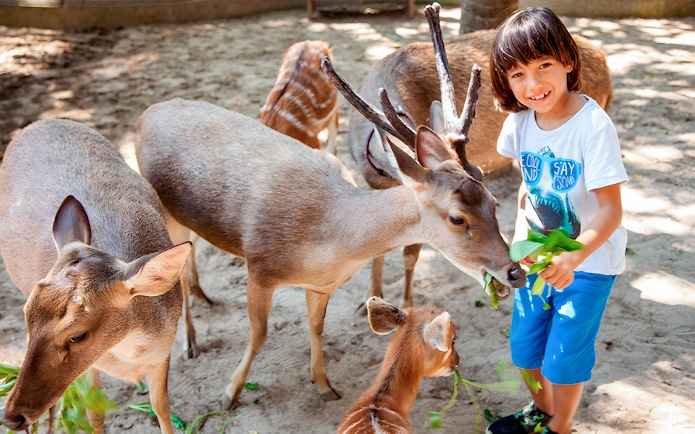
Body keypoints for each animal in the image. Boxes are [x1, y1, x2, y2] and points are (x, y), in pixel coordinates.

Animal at [0, 119, 192, 434]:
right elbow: (94, 414)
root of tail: (40, 122)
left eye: (78, 335)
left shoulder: (162, 354)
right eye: (26, 315)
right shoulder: (93, 368)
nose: (11, 416)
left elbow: (162, 406)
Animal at [134, 15, 525, 406]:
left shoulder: (322, 285)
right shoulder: (259, 268)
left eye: (493, 201)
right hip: (164, 210)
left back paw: (203, 296)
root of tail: (145, 115)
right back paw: (190, 341)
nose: (515, 273)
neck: (327, 240)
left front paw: (323, 384)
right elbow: (259, 334)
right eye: (457, 217)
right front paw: (230, 392)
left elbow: (317, 326)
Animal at [346, 2, 613, 313]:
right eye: (456, 218)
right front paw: (369, 299)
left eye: (493, 202)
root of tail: (606, 63)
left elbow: (409, 255)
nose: (515, 273)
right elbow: (377, 247)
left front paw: (407, 306)